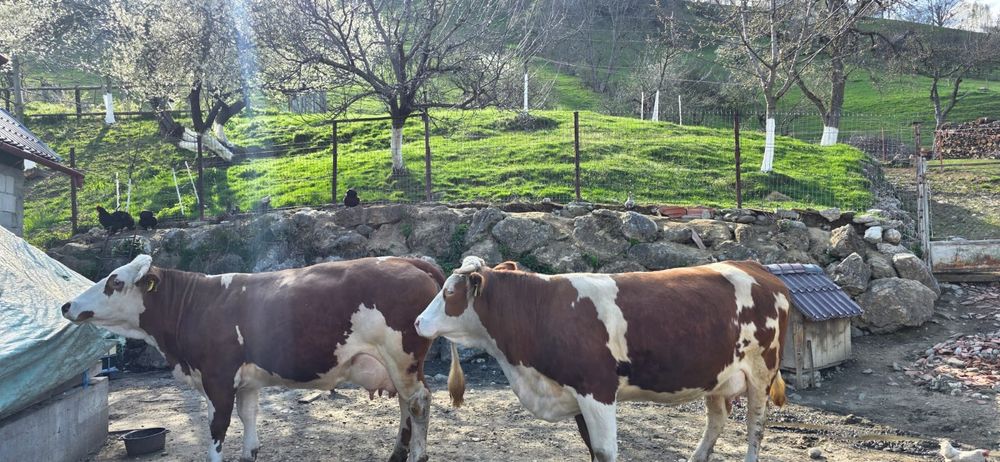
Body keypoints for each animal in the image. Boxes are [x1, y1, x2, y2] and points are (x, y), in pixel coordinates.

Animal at [62, 255, 465, 462]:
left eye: (114, 281)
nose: (67, 305)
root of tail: (409, 260)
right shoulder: (246, 381)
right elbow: (248, 417)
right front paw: (250, 452)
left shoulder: (217, 378)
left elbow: (217, 428)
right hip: (399, 365)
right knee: (406, 403)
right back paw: (397, 453)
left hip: (402, 357)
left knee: (419, 402)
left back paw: (417, 455)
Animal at [414, 256, 790, 462]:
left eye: (448, 292)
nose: (417, 322)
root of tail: (755, 267)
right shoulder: (576, 394)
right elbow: (592, 448)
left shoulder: (597, 390)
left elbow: (606, 450)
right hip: (716, 374)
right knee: (717, 419)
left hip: (761, 373)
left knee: (755, 428)